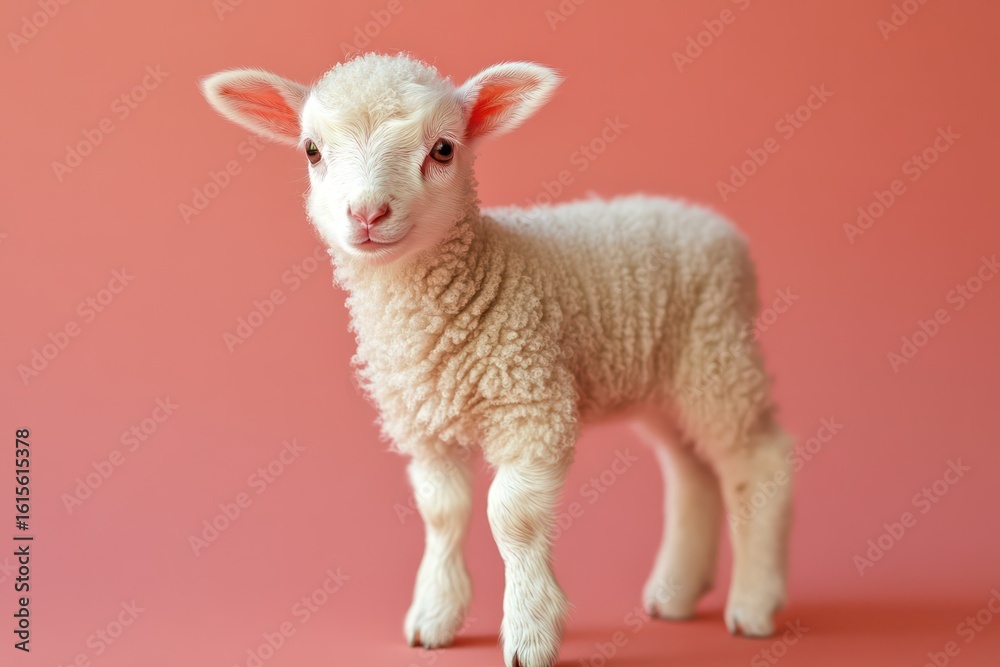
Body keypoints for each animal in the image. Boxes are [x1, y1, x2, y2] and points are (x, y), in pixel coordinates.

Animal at [202, 52, 792, 667]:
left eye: (443, 149)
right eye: (312, 151)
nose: (366, 213)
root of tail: (714, 227)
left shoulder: (532, 405)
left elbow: (511, 516)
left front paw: (530, 633)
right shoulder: (426, 424)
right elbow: (442, 512)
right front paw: (434, 617)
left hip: (716, 357)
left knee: (759, 464)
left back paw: (753, 604)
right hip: (668, 382)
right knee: (691, 470)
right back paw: (675, 593)